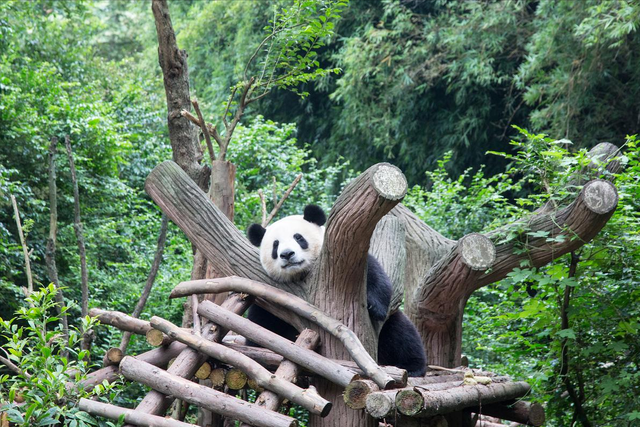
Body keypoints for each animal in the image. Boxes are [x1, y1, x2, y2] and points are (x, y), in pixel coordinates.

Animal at [248, 206, 428, 376]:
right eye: (275, 245)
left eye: (298, 238)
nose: (286, 254)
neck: (301, 275)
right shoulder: (267, 301)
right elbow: (259, 327)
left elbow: (377, 277)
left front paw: (374, 306)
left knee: (402, 334)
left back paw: (413, 367)